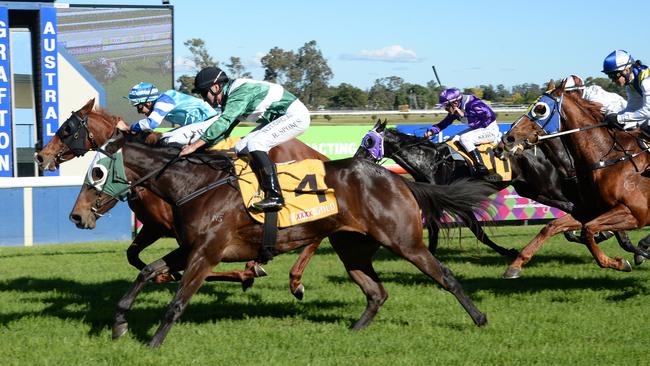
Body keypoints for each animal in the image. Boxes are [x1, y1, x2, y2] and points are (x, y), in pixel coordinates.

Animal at [36, 98, 326, 298]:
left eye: (66, 129)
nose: (41, 156)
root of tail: (314, 152)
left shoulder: (179, 229)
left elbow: (193, 265)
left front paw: (245, 272)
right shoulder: (154, 226)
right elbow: (133, 255)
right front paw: (167, 276)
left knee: (316, 234)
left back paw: (294, 281)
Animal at [68, 130, 492, 348]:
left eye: (98, 173)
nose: (77, 215)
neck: (194, 185)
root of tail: (397, 179)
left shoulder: (206, 252)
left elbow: (177, 302)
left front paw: (154, 343)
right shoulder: (190, 248)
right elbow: (144, 274)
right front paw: (119, 324)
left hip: (404, 242)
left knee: (445, 276)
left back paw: (480, 318)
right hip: (351, 247)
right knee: (376, 292)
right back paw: (353, 332)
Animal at [502, 81, 648, 274]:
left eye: (540, 109)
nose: (508, 137)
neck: (608, 158)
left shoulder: (635, 213)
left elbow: (590, 231)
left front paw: (623, 260)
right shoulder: (590, 209)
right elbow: (553, 227)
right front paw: (516, 264)